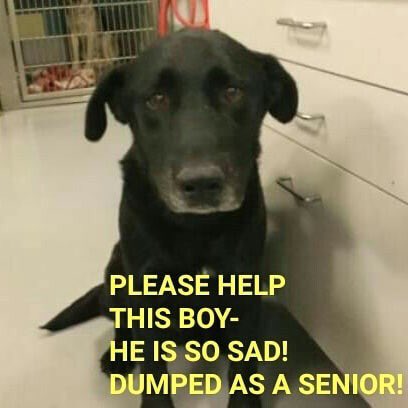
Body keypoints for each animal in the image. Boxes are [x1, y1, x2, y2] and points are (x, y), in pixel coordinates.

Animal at [43, 29, 298, 408]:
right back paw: (117, 355)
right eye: (156, 98)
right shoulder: (144, 289)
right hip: (115, 273)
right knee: (122, 325)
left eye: (232, 91)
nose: (202, 183)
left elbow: (244, 364)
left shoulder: (244, 284)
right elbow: (152, 366)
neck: (196, 228)